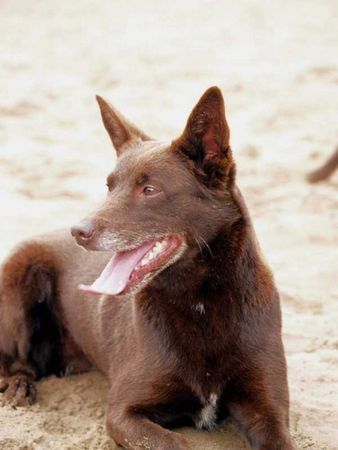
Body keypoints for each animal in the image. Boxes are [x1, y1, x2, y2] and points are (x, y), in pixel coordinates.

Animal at [0, 88, 294, 450]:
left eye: (150, 190)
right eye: (110, 186)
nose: (78, 231)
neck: (200, 301)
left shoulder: (269, 412)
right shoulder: (124, 413)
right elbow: (175, 443)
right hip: (18, 279)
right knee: (13, 361)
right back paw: (19, 385)